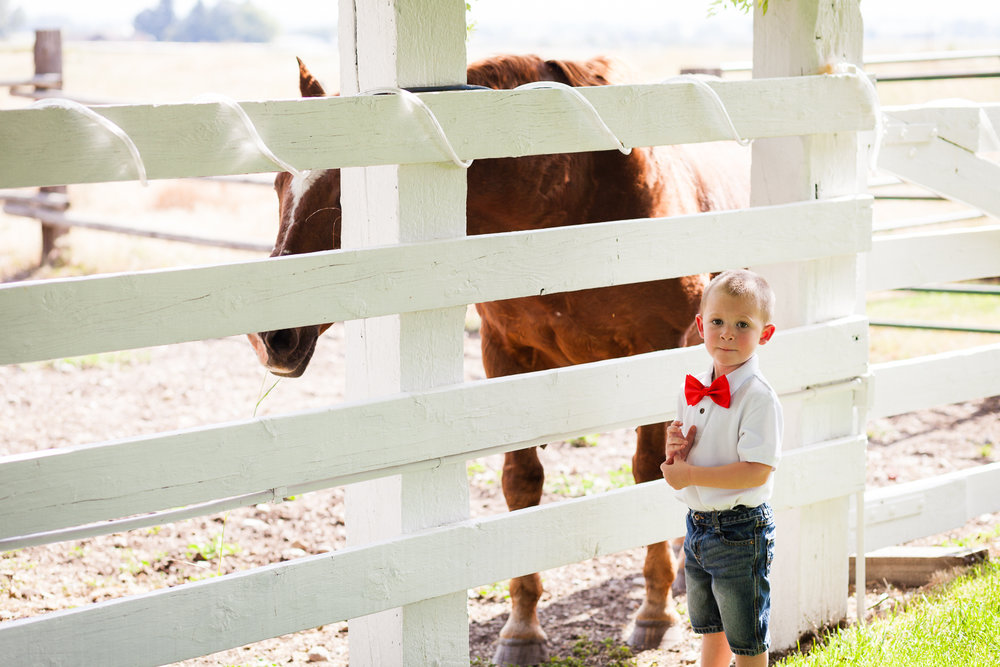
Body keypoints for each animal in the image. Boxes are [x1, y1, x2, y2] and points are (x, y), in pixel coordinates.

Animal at [250, 54, 752, 664]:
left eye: (353, 200)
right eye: (279, 184)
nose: (272, 337)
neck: (576, 207)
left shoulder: (658, 351)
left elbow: (647, 472)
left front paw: (653, 613)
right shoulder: (506, 356)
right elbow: (522, 481)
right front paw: (522, 629)